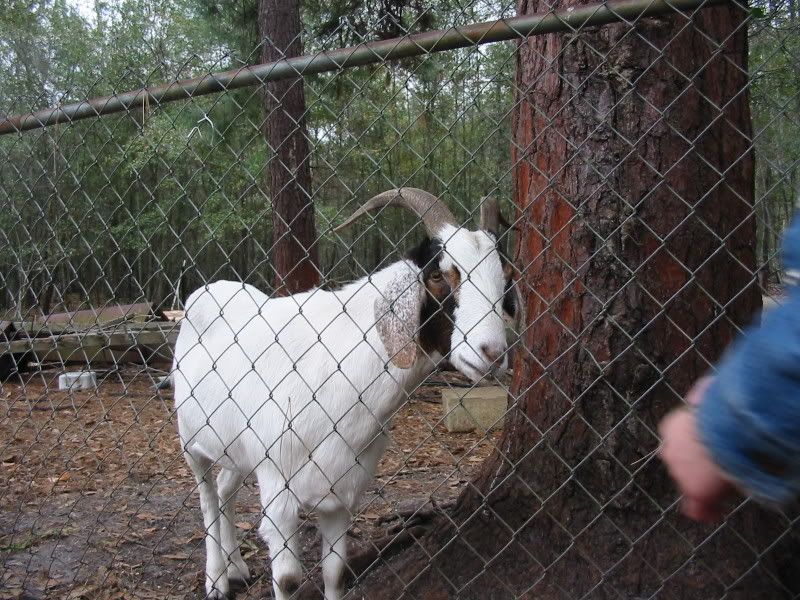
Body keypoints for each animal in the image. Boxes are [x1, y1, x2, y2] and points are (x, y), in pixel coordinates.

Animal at [173, 189, 517, 599]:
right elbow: (288, 580)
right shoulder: (278, 491)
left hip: (235, 445)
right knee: (207, 496)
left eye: (505, 279)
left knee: (226, 488)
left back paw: (237, 568)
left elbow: (335, 573)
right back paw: (217, 580)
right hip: (190, 438)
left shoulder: (341, 496)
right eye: (436, 274)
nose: (492, 353)